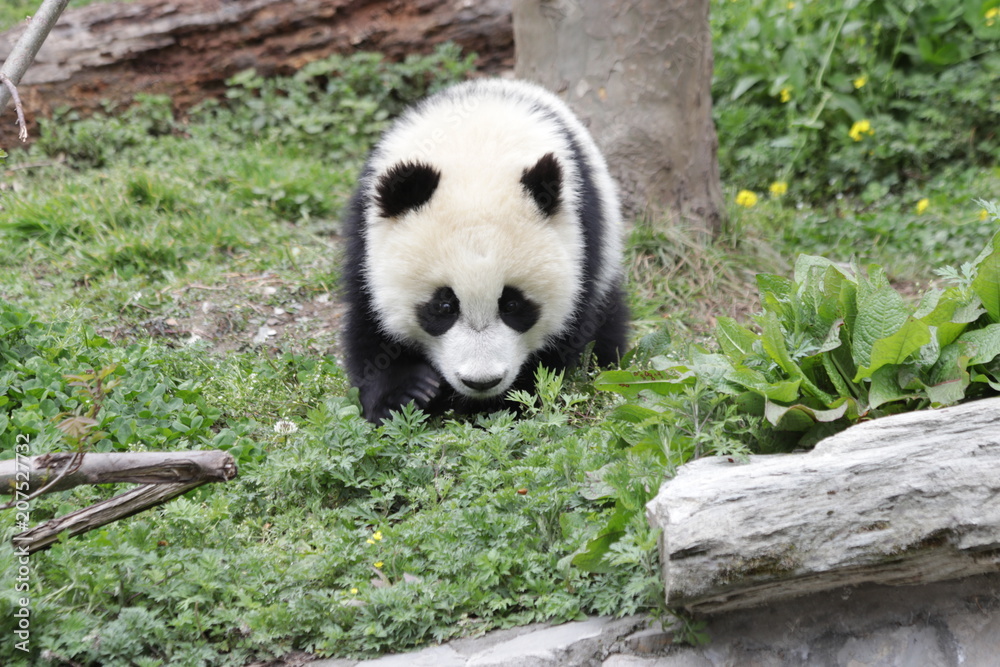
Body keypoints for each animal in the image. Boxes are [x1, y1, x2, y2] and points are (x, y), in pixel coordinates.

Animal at [341, 78, 628, 424]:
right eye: (444, 306)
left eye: (512, 304)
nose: (481, 381)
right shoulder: (365, 239)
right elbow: (369, 325)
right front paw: (406, 394)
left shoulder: (583, 241)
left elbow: (569, 331)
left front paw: (503, 401)